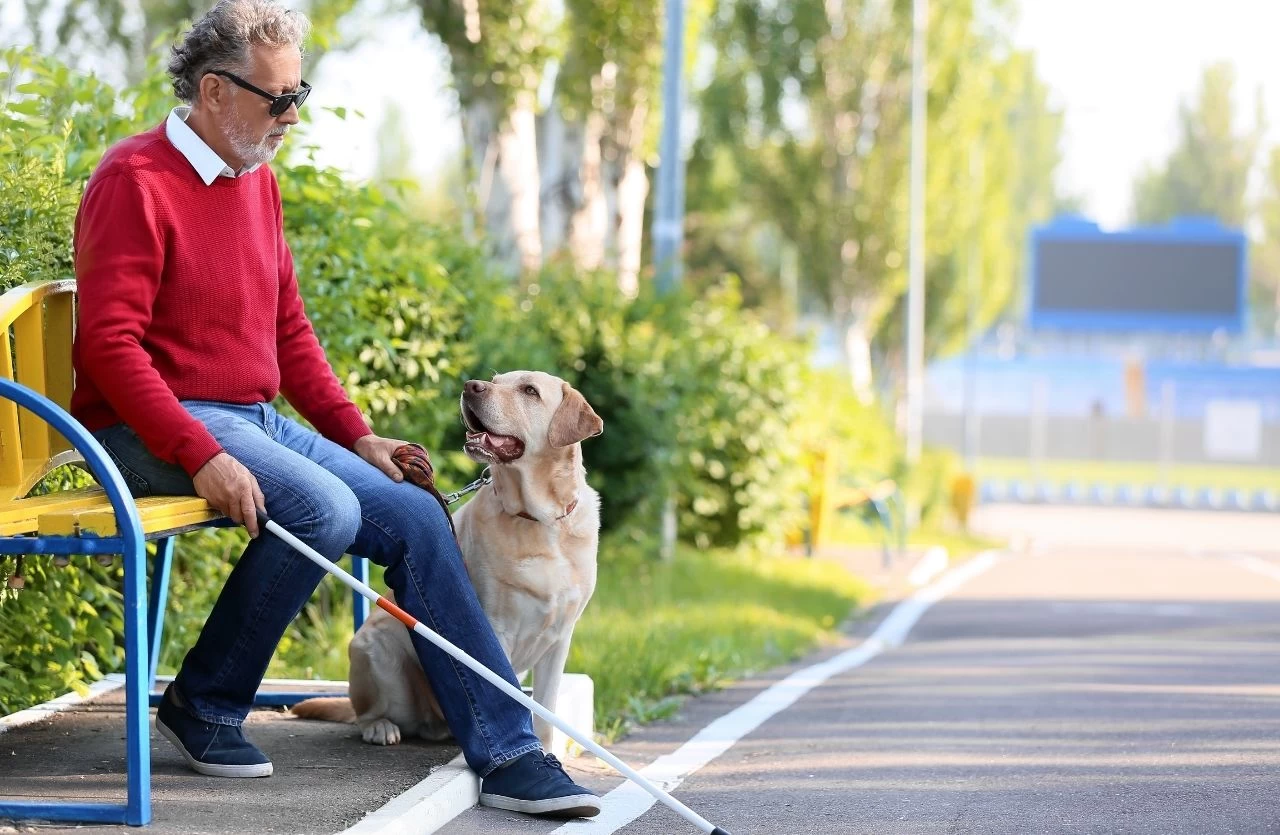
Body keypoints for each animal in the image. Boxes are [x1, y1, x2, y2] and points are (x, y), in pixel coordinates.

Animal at [294, 368, 604, 747]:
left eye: (530, 391)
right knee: (365, 712)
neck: (538, 520)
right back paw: (381, 727)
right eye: (496, 381)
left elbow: (545, 715)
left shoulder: (559, 639)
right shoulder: (496, 630)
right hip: (376, 653)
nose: (472, 386)